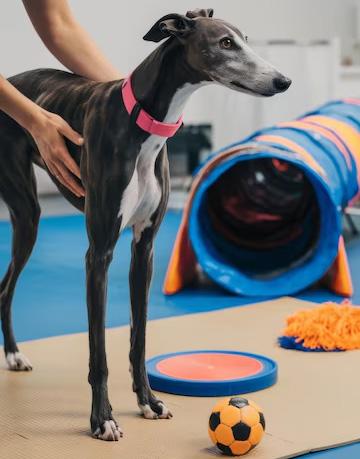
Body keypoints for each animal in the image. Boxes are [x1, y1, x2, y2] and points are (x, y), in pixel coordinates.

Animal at [0, 9, 290, 442]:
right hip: (26, 211)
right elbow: (99, 351)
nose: (283, 81)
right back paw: (15, 354)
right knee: (7, 288)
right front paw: (102, 419)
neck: (143, 125)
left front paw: (148, 402)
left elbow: (139, 339)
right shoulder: (99, 254)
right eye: (225, 43)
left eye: (245, 39)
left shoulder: (144, 248)